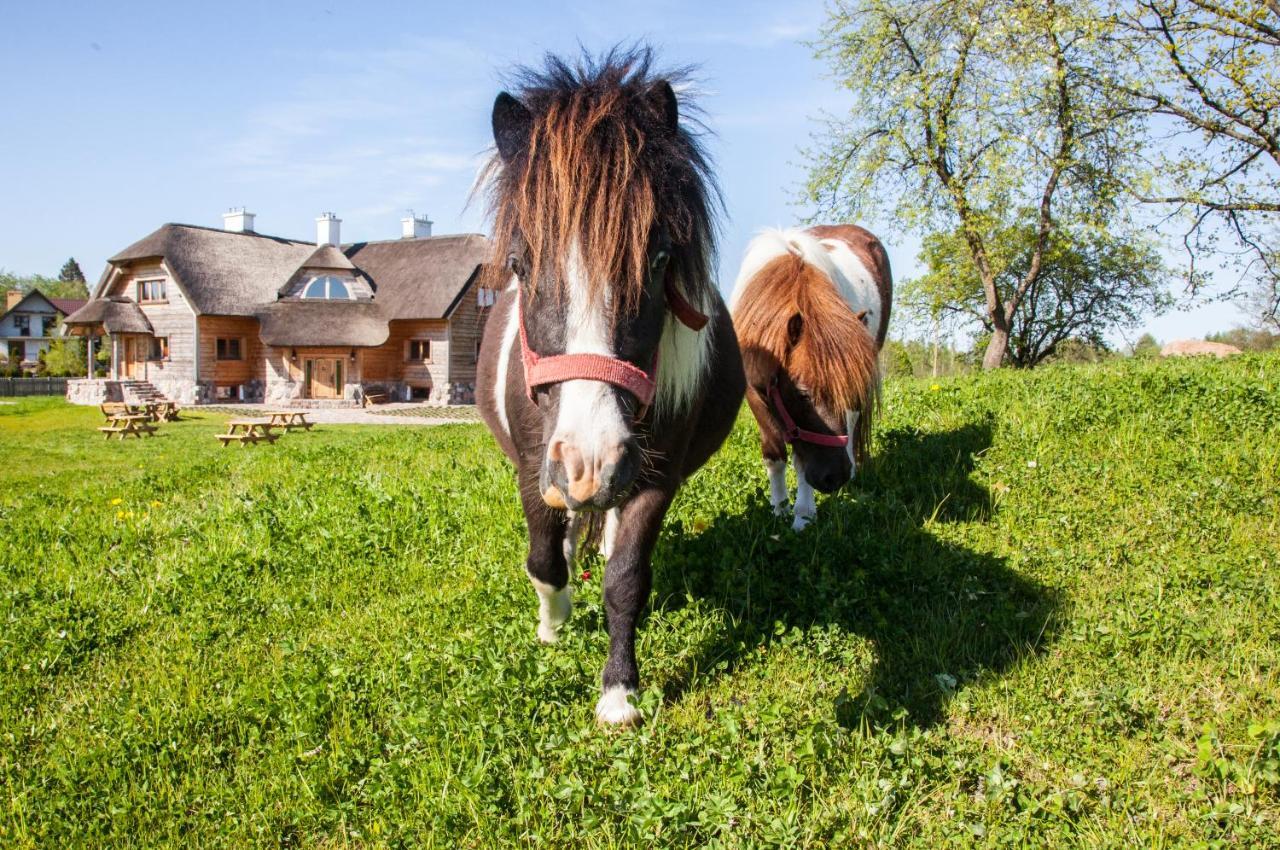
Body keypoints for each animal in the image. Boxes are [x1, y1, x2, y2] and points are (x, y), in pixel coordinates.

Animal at [476, 49, 747, 727]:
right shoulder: (533, 468)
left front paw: (619, 691)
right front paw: (553, 627)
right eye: (521, 265)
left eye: (658, 260)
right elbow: (544, 562)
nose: (589, 463)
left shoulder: (655, 477)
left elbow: (626, 578)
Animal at [732, 225, 890, 532]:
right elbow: (775, 456)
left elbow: (802, 461)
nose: (835, 478)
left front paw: (803, 515)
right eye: (803, 394)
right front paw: (779, 508)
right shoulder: (754, 393)